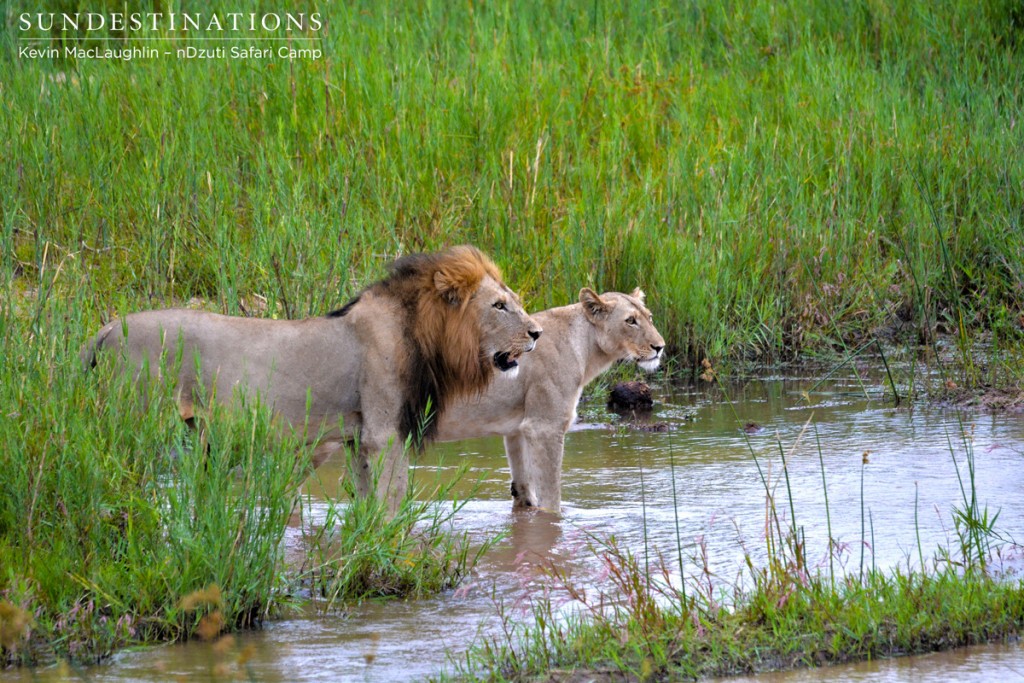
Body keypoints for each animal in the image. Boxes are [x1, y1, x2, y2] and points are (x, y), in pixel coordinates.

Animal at [81, 246, 544, 511]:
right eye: (499, 306)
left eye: (514, 302)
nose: (537, 333)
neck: (422, 334)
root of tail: (107, 328)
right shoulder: (384, 432)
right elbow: (393, 498)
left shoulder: (359, 437)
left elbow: (368, 501)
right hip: (136, 423)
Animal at [432, 286, 663, 511]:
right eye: (630, 320)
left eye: (650, 317)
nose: (660, 347)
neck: (586, 349)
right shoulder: (544, 428)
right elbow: (551, 500)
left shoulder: (518, 429)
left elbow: (524, 491)